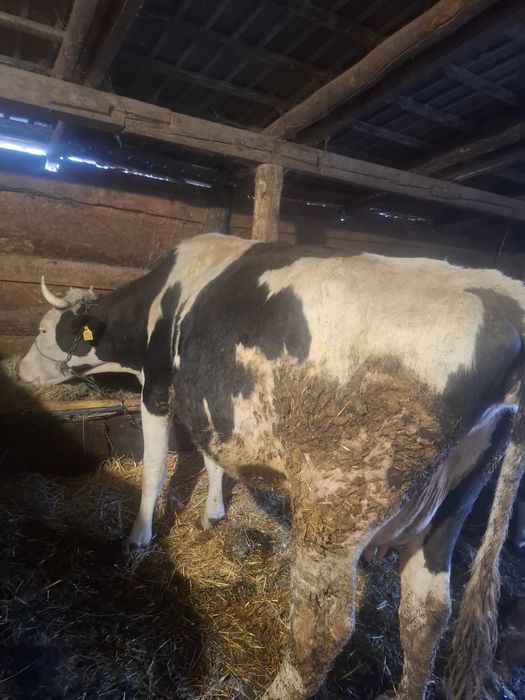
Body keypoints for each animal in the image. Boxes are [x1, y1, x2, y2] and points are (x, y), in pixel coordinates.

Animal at [17, 233, 525, 699]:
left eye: (43, 331)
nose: (20, 370)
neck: (158, 302)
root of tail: (507, 299)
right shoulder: (215, 404)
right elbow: (214, 457)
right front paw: (212, 514)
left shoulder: (158, 388)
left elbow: (155, 466)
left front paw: (137, 538)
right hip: (449, 506)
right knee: (427, 615)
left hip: (336, 504)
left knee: (321, 632)